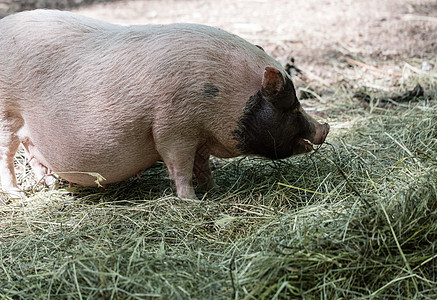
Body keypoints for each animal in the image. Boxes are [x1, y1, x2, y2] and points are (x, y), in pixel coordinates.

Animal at [0, 9, 328, 199]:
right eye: (291, 107)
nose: (324, 129)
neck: (225, 94)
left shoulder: (199, 136)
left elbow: (202, 165)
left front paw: (213, 189)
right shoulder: (173, 127)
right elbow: (179, 166)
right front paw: (191, 202)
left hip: (30, 130)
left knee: (32, 152)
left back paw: (51, 187)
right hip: (6, 114)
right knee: (7, 155)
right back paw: (18, 195)